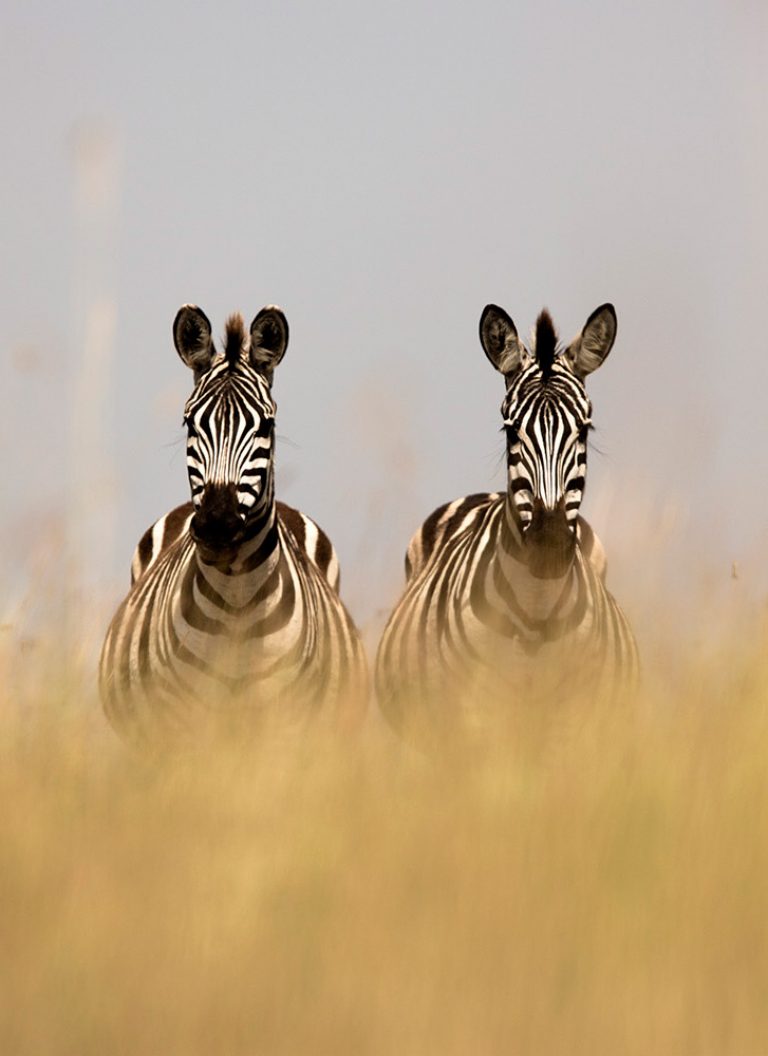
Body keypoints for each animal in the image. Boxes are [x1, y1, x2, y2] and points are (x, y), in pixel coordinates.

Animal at [98, 304, 365, 751]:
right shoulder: (182, 724)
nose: (217, 526)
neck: (237, 601)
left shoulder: (285, 723)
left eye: (266, 427)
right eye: (189, 424)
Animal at [376, 297, 638, 743]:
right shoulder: (474, 720)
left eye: (584, 431)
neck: (536, 613)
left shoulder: (575, 725)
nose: (550, 541)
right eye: (511, 431)